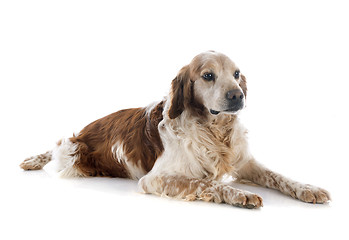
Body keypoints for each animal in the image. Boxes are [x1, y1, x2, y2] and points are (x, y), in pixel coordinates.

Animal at [20, 50, 330, 208]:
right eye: (208, 76)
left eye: (237, 74)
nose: (237, 96)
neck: (213, 131)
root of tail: (86, 129)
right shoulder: (155, 179)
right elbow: (206, 182)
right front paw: (238, 194)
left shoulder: (245, 162)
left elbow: (279, 176)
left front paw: (308, 188)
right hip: (73, 151)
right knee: (56, 147)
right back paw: (33, 160)